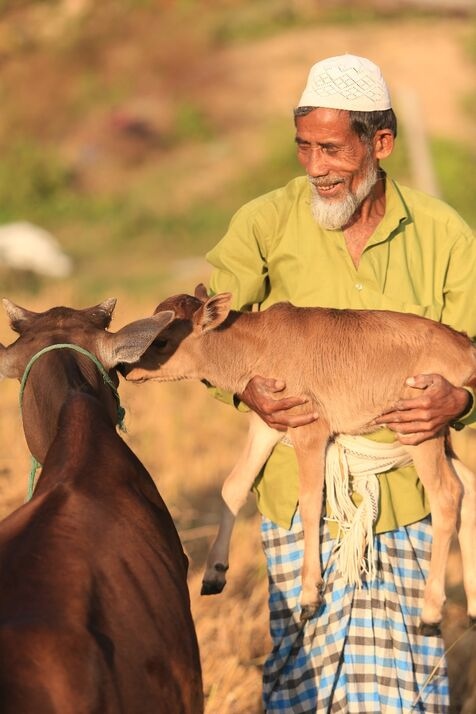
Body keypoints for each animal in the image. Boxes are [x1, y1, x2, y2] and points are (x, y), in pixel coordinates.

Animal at [122, 285, 476, 635]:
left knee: (447, 496)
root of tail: (466, 349)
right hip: (440, 438)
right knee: (468, 490)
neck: (262, 342)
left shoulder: (310, 431)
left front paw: (309, 596)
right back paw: (472, 609)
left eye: (162, 340)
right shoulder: (266, 424)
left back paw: (430, 614)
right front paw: (214, 573)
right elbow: (234, 486)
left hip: (421, 434)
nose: (126, 368)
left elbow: (309, 503)